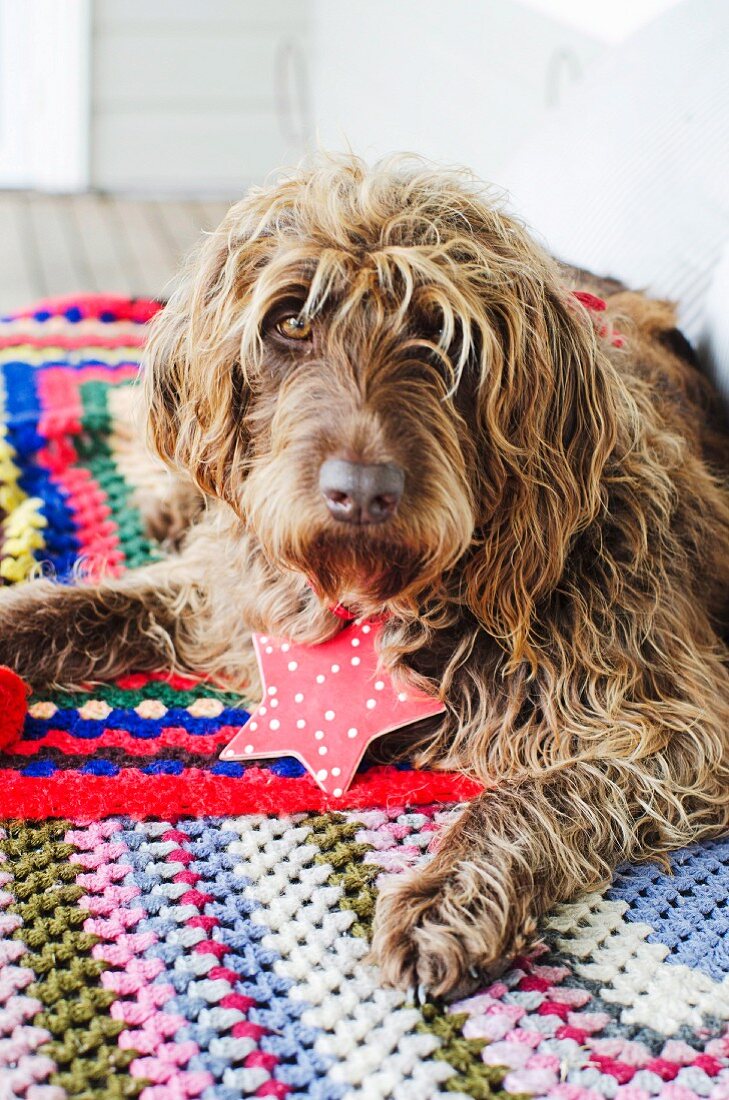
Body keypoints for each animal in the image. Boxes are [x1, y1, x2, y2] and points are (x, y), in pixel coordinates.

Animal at [1, 155, 729, 998]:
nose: (360, 492)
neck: (391, 597)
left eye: (442, 334)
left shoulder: (674, 726)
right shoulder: (240, 600)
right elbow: (83, 605)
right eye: (290, 321)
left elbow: (535, 794)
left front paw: (446, 898)